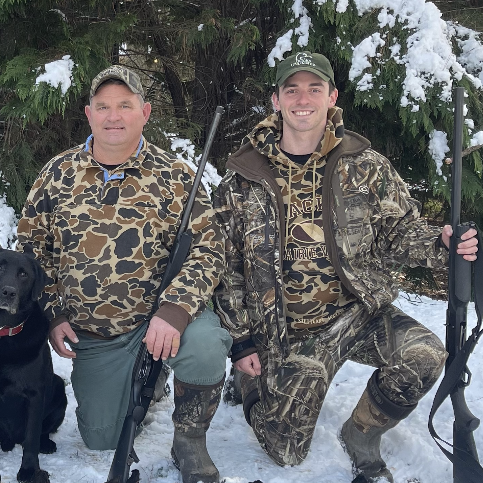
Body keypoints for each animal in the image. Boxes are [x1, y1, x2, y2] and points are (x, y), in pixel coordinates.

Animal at [0, 247, 67, 483]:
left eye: (23, 274)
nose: (8, 292)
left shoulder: (35, 394)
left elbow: (31, 439)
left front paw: (29, 471)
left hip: (59, 388)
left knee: (41, 433)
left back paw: (46, 443)